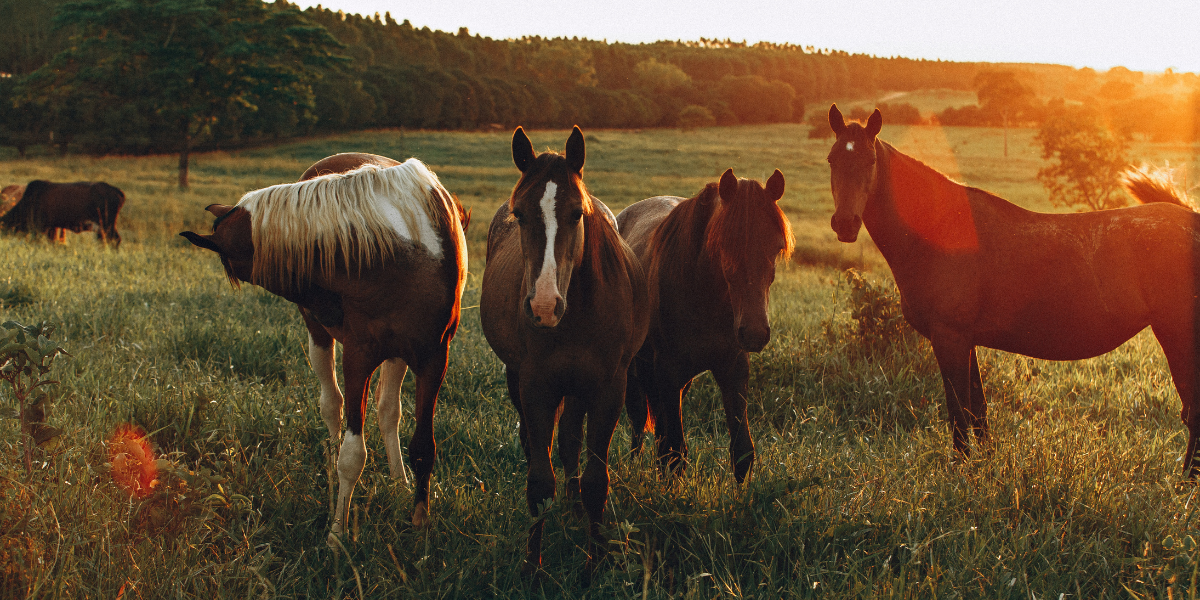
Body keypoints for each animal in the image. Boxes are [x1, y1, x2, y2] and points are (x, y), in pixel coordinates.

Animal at [180, 153, 470, 544]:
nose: (321, 304)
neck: (402, 250)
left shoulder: (433, 358)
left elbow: (424, 446)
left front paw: (420, 523)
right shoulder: (358, 356)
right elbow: (352, 453)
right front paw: (337, 532)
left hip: (397, 353)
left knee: (387, 410)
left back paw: (398, 481)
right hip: (321, 339)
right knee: (332, 407)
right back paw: (334, 481)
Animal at [479, 126, 648, 580]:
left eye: (576, 214)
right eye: (520, 214)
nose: (542, 306)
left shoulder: (608, 389)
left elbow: (595, 480)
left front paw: (596, 562)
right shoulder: (536, 386)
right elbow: (539, 481)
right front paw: (531, 566)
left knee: (571, 437)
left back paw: (573, 508)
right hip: (520, 379)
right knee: (536, 440)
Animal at [617, 169, 794, 483]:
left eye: (777, 247)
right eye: (724, 244)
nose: (754, 333)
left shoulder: (733, 368)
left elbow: (742, 451)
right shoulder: (668, 370)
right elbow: (675, 453)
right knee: (639, 423)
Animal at [826, 104, 1200, 475]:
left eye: (870, 161)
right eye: (832, 160)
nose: (845, 224)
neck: (941, 229)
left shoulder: (949, 337)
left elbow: (959, 411)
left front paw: (962, 469)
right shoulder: (966, 340)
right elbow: (978, 410)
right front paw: (986, 465)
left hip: (1177, 335)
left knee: (1193, 411)